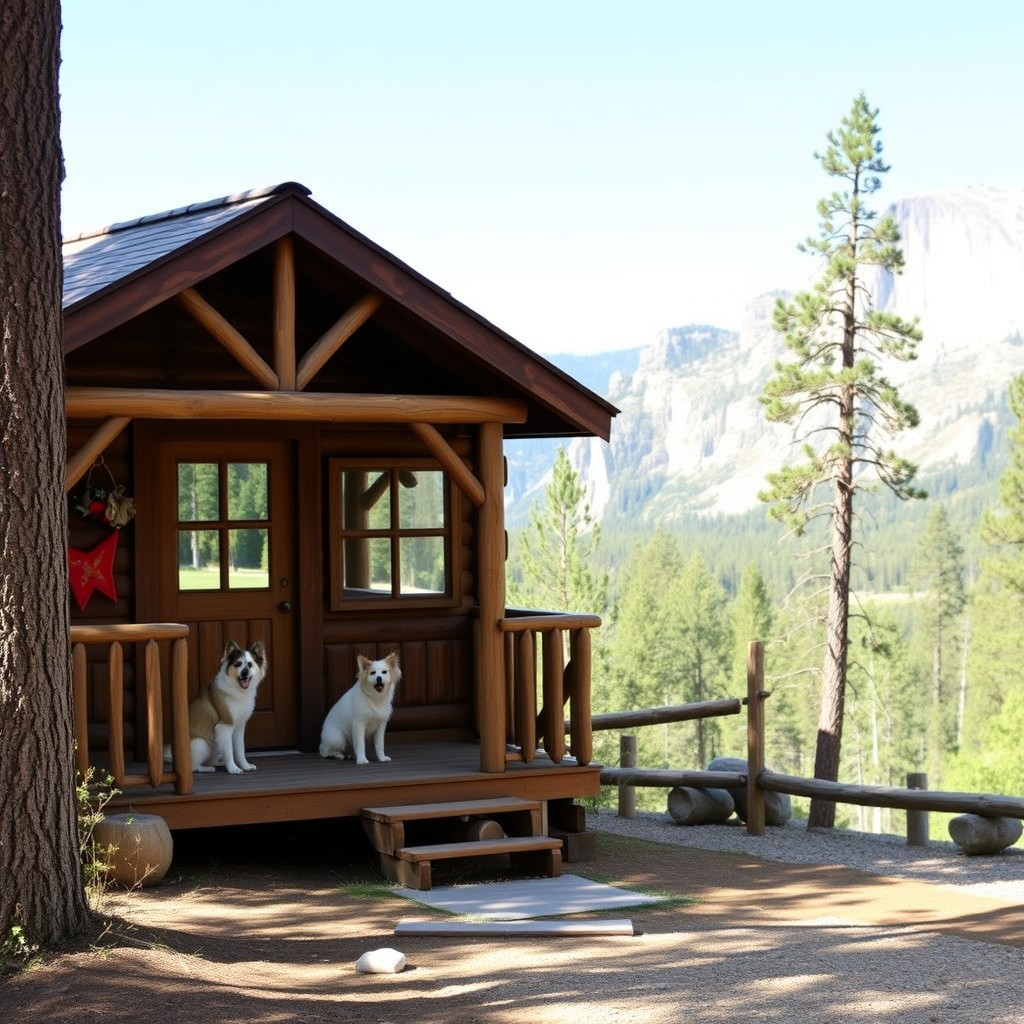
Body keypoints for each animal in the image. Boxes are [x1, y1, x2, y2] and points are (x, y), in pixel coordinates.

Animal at [186, 638, 268, 774]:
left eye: (250, 665)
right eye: (238, 664)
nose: (244, 673)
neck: (238, 689)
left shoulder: (239, 727)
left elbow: (240, 749)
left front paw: (245, 765)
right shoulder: (225, 726)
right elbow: (229, 751)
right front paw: (233, 768)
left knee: (212, 759)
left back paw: (218, 763)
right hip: (201, 743)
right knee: (192, 767)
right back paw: (206, 768)